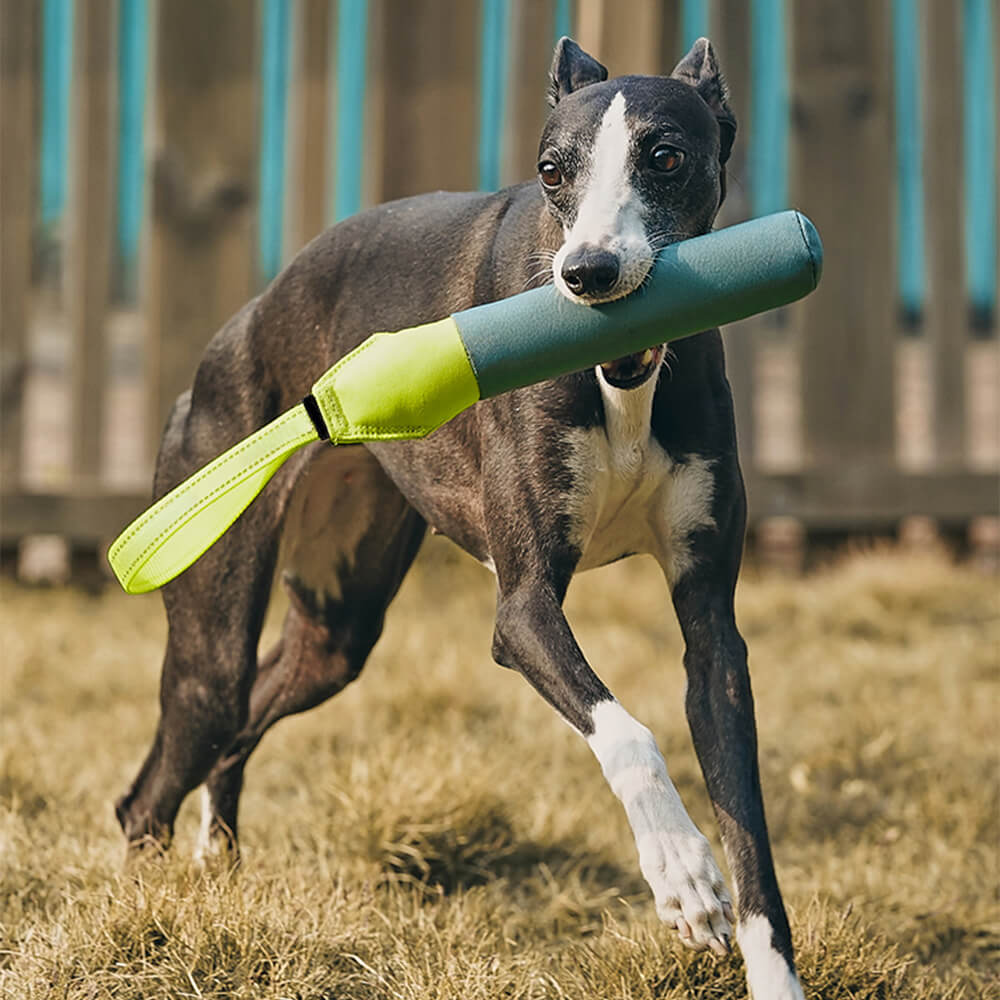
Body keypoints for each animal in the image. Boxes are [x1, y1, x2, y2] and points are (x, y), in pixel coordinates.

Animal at [115, 37, 804, 1000]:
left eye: (665, 156)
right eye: (552, 170)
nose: (587, 275)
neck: (623, 377)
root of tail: (248, 324)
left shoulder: (712, 627)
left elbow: (748, 827)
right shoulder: (523, 611)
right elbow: (627, 729)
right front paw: (680, 874)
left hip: (337, 630)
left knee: (242, 729)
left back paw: (218, 864)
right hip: (211, 638)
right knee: (154, 782)